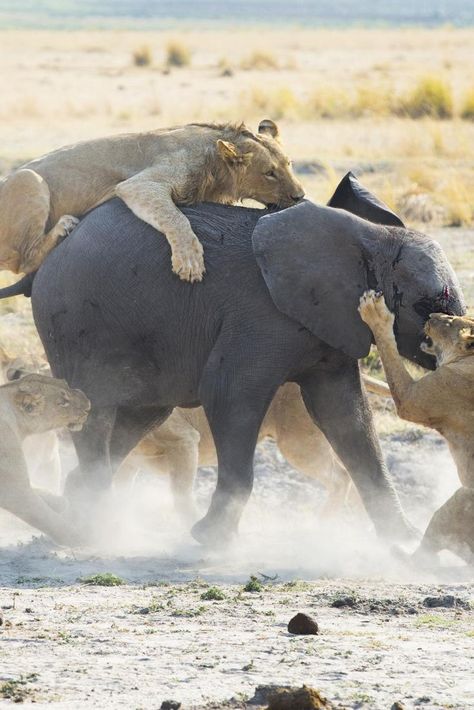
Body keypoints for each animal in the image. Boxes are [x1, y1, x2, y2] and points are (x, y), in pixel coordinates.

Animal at [0, 119, 304, 280]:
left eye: (289, 164)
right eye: (269, 173)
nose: (300, 196)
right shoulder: (141, 184)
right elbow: (176, 218)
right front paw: (189, 261)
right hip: (29, 178)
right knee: (22, 261)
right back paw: (64, 226)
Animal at [0, 376, 90, 544]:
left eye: (66, 383)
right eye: (63, 402)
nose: (89, 405)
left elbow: (38, 489)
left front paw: (59, 502)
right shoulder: (13, 489)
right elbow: (46, 517)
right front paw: (81, 537)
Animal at [360, 292, 474, 564]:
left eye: (449, 321)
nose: (430, 315)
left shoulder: (415, 399)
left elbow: (389, 350)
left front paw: (376, 313)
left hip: (461, 499)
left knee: (427, 555)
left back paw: (401, 553)